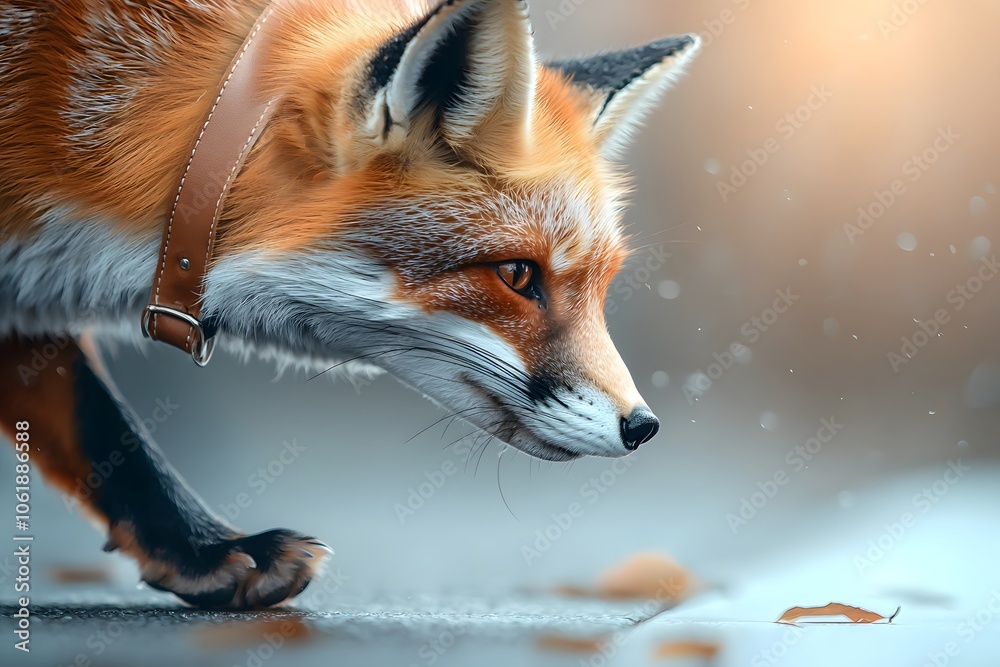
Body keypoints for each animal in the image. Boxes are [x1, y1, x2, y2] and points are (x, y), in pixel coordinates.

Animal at [0, 0, 699, 609]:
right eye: (516, 274)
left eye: (603, 287)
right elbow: (103, 422)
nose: (643, 427)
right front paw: (206, 551)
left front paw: (199, 553)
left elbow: (98, 425)